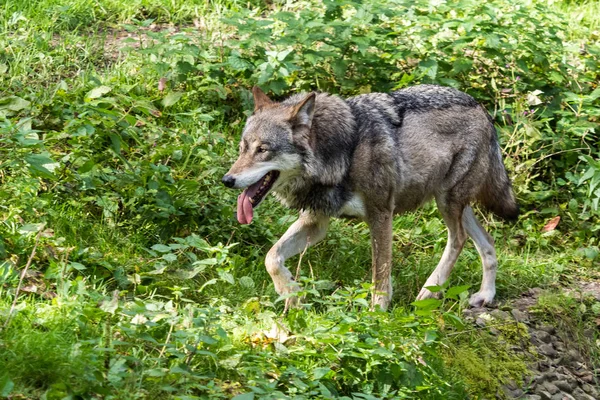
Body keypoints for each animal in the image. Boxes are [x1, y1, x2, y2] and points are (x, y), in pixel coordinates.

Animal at [223, 83, 516, 310]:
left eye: (263, 150)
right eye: (242, 148)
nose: (227, 180)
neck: (344, 151)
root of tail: (482, 109)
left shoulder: (381, 214)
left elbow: (380, 275)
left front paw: (377, 314)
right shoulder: (317, 222)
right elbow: (271, 257)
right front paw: (291, 295)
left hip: (448, 202)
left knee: (459, 239)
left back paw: (430, 290)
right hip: (454, 204)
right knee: (487, 242)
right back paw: (486, 295)